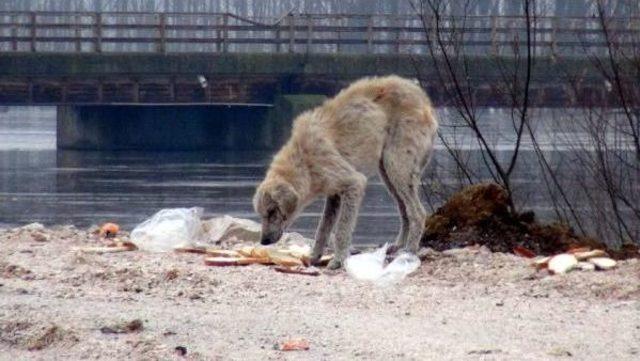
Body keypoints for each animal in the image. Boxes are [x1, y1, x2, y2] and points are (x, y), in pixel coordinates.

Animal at [252, 75, 438, 268]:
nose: (264, 242)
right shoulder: (333, 194)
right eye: (262, 214)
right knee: (404, 210)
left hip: (397, 166)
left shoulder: (353, 183)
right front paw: (314, 257)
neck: (302, 160)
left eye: (272, 212)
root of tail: (423, 98)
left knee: (417, 213)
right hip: (388, 173)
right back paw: (398, 245)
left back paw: (409, 251)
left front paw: (338, 260)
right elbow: (323, 228)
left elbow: (342, 229)